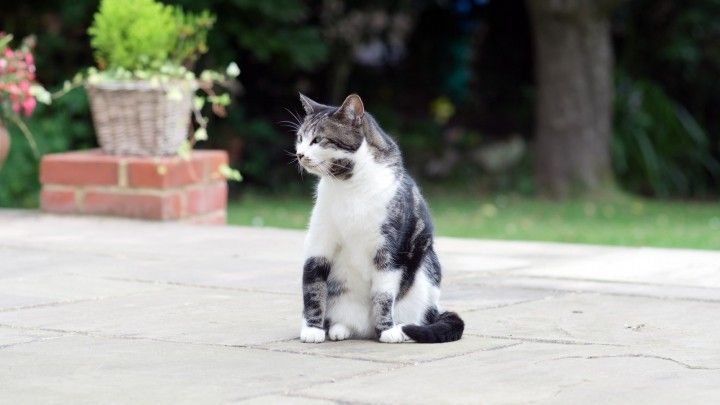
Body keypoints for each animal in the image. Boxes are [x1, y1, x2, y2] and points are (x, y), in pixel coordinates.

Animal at [296, 93, 464, 342]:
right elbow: (313, 285)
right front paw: (312, 330)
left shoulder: (388, 250)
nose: (300, 154)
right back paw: (339, 329)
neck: (349, 185)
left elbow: (383, 295)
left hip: (427, 267)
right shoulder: (319, 242)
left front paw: (386, 330)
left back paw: (402, 329)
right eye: (300, 138)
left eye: (318, 140)